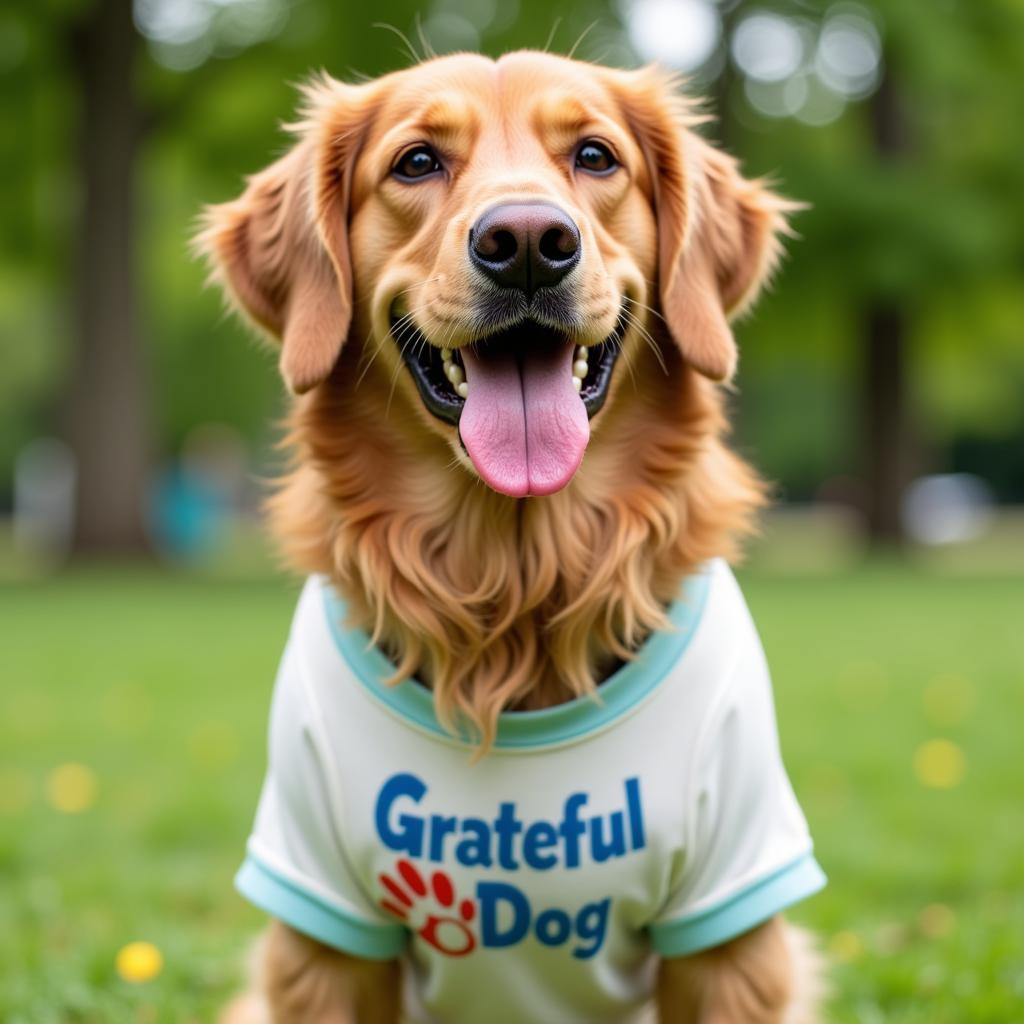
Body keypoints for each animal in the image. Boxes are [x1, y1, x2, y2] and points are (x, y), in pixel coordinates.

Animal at [203, 51, 827, 1024]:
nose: (528, 241)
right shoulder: (322, 927)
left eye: (596, 156)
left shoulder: (733, 919)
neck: (516, 581)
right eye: (417, 162)